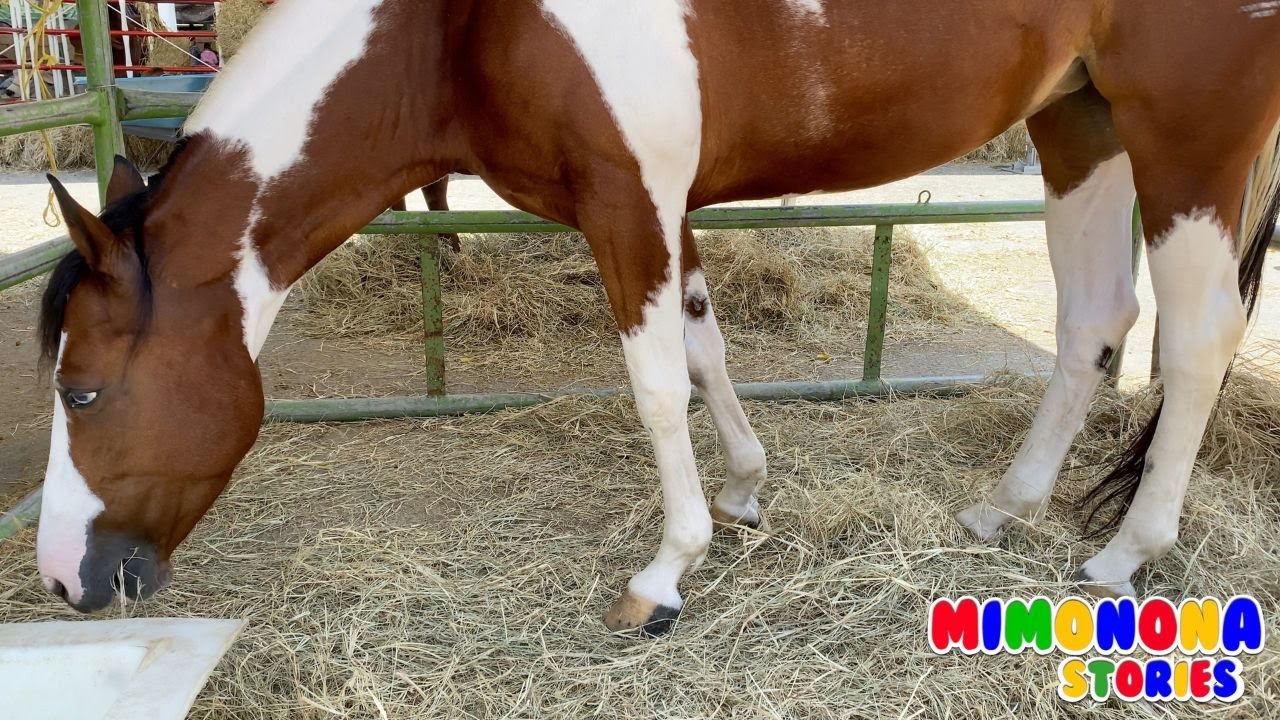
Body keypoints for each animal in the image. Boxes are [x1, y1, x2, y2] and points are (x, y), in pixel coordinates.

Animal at [32, 0, 1280, 636]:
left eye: (81, 389)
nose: (62, 581)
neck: (456, 27)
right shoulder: (662, 203)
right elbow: (701, 342)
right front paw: (743, 490)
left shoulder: (624, 200)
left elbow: (650, 383)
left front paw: (665, 570)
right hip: (1079, 118)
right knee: (1092, 321)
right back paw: (1004, 507)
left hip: (1184, 129)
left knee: (1197, 336)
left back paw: (1123, 553)